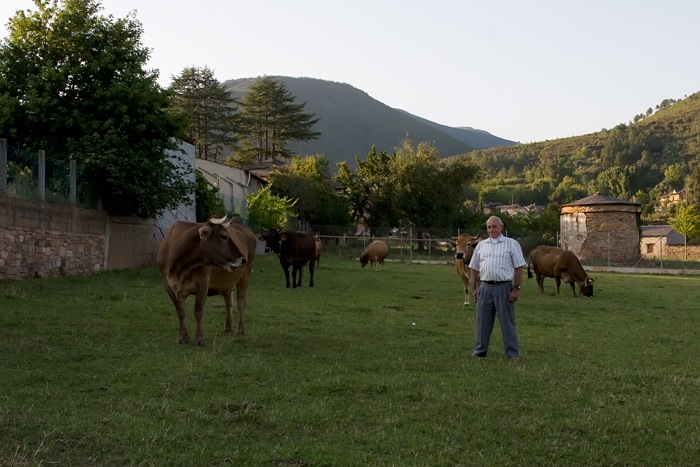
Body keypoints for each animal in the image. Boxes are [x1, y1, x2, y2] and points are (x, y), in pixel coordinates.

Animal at [156, 216, 256, 345]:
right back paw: (229, 327)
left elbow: (198, 311)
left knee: (241, 302)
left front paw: (200, 339)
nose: (243, 259)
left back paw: (240, 330)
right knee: (228, 302)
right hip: (227, 282)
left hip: (245, 274)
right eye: (224, 236)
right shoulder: (168, 286)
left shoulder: (202, 283)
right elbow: (180, 311)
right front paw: (182, 337)